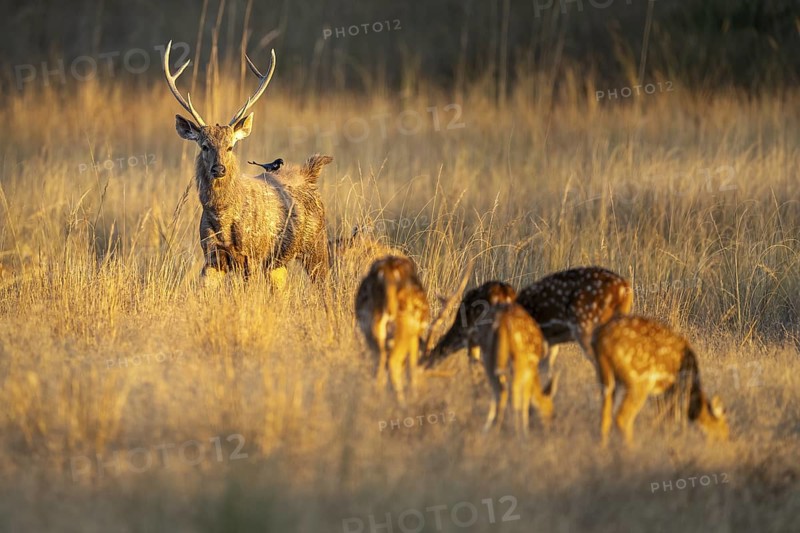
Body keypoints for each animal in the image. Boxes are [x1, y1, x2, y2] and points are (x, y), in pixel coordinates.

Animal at [163, 41, 332, 287]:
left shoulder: (252, 254)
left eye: (230, 146)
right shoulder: (212, 255)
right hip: (277, 264)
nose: (219, 168)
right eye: (204, 146)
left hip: (317, 243)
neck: (223, 220)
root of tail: (309, 174)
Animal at [591, 315, 729, 446]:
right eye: (722, 431)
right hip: (638, 379)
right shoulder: (675, 390)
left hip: (605, 377)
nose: (725, 442)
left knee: (605, 418)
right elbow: (669, 418)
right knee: (622, 417)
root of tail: (600, 339)